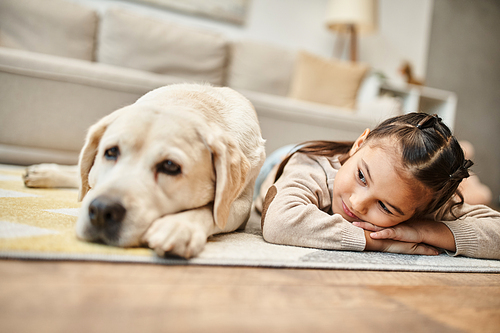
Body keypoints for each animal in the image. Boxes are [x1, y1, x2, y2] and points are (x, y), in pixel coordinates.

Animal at [23, 83, 266, 256]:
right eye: (111, 152)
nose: (102, 211)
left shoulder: (241, 205)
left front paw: (179, 226)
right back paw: (43, 172)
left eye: (170, 166)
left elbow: (211, 210)